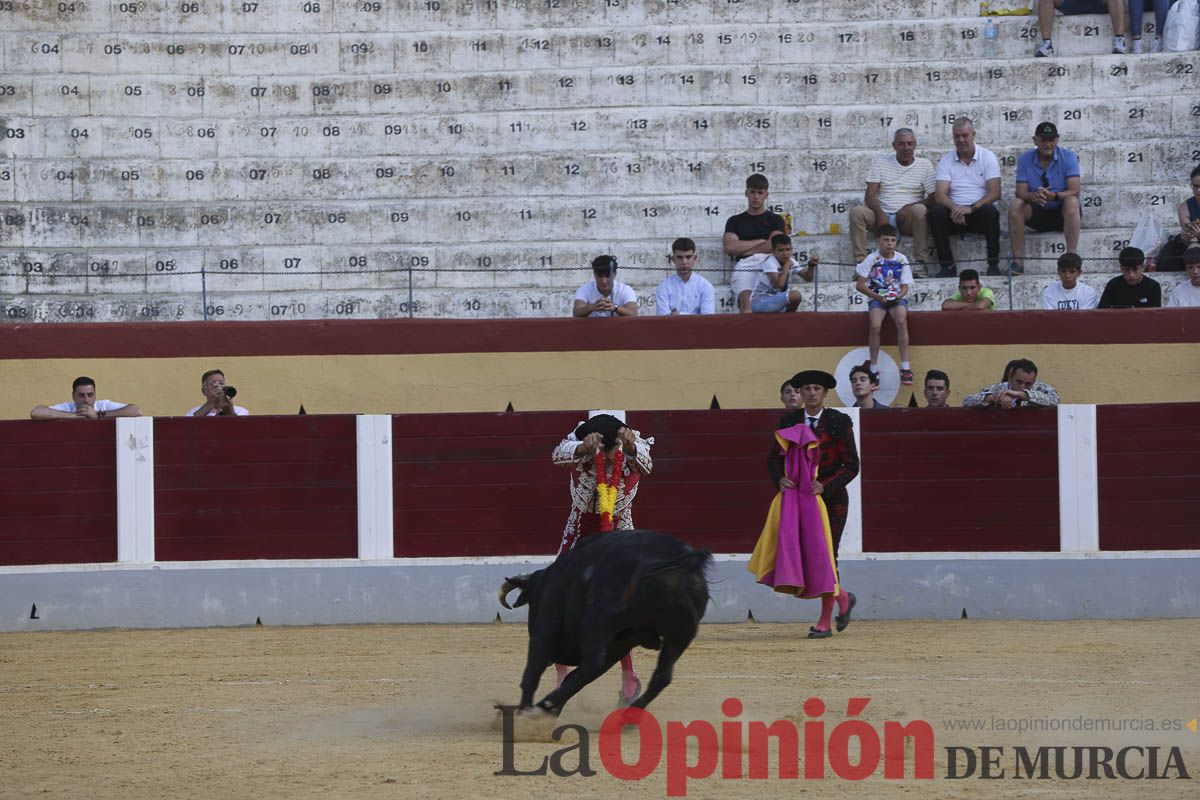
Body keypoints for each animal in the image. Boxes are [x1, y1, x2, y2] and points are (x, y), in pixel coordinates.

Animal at [496, 532, 710, 714]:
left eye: (533, 602)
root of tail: (681, 561)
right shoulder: (620, 641)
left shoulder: (545, 629)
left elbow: (532, 673)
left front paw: (524, 711)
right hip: (680, 635)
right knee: (661, 677)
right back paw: (628, 717)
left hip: (599, 621)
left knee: (592, 664)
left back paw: (543, 707)